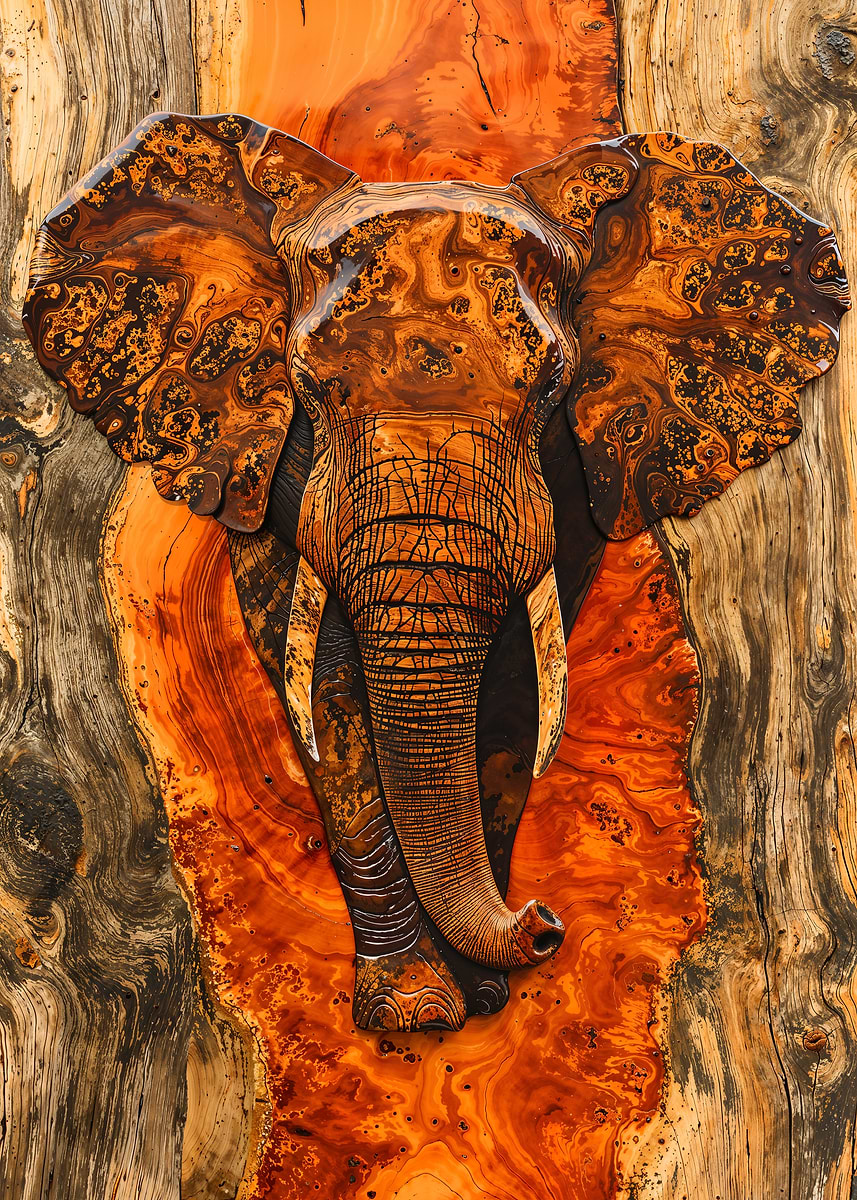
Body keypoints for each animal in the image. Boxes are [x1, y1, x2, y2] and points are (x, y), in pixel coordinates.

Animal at [22, 112, 848, 1032]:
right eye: (311, 387)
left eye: (550, 387)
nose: (543, 921)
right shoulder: (255, 464)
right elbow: (327, 692)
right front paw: (414, 1011)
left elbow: (515, 693)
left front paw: (481, 994)